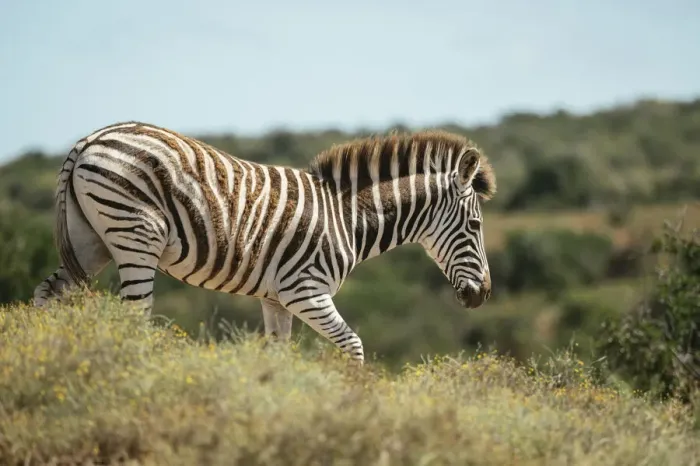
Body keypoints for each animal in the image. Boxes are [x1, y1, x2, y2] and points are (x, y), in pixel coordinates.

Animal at [33, 121, 497, 364]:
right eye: (475, 225)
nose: (483, 296)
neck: (347, 218)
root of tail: (90, 139)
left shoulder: (275, 299)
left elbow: (279, 355)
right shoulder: (304, 290)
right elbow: (353, 345)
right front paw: (354, 403)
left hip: (91, 241)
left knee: (46, 293)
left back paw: (44, 357)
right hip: (135, 237)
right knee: (134, 317)